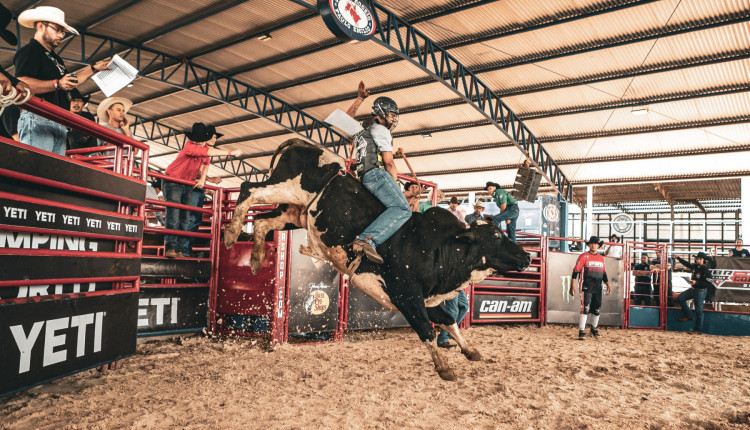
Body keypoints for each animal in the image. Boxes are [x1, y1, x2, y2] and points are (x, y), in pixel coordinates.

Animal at [222, 139, 528, 380]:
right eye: (496, 236)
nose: (526, 256)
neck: (438, 248)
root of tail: (300, 144)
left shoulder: (426, 299)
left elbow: (448, 321)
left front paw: (470, 350)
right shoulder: (406, 295)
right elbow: (426, 330)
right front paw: (444, 368)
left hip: (293, 212)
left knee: (261, 221)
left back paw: (256, 258)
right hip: (283, 187)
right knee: (249, 188)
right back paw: (231, 233)